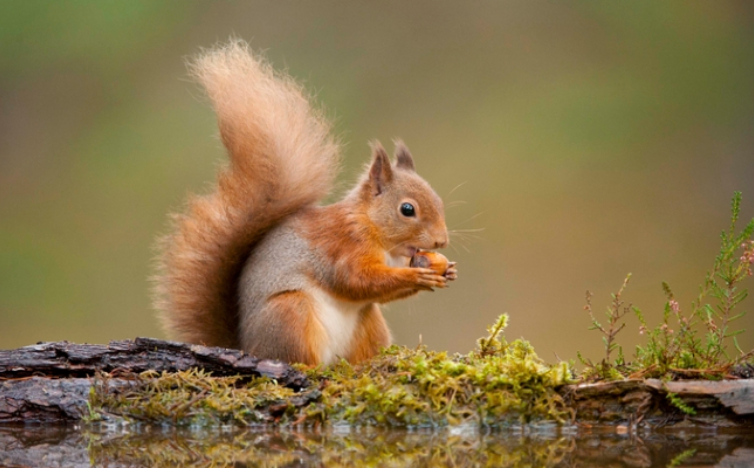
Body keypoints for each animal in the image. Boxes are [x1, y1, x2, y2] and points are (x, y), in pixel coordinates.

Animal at [154, 41, 452, 366]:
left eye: (438, 199)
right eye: (407, 209)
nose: (441, 241)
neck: (371, 227)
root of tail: (249, 346)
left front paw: (447, 271)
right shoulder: (342, 246)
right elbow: (355, 280)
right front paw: (416, 274)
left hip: (368, 321)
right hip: (290, 313)